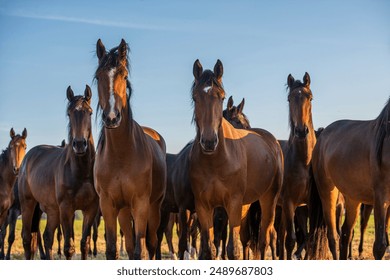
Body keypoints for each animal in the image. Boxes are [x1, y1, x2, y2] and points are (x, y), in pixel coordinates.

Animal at [18, 86, 99, 260]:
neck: (81, 171)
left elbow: (84, 244)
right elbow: (69, 247)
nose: (80, 144)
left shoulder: (90, 209)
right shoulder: (66, 208)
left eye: (89, 112)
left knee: (47, 237)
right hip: (28, 204)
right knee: (27, 238)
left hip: (52, 210)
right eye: (69, 113)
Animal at [95, 38, 168, 260]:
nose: (112, 118)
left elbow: (139, 251)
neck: (121, 154)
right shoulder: (108, 206)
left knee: (151, 244)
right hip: (124, 211)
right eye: (98, 76)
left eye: (124, 75)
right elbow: (113, 249)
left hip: (154, 207)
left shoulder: (141, 204)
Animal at [190, 59, 284, 260]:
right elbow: (209, 249)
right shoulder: (204, 207)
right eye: (195, 97)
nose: (209, 142)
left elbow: (233, 250)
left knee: (264, 240)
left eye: (222, 97)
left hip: (268, 200)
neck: (215, 162)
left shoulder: (232, 204)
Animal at [310, 97, 390, 260]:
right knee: (333, 236)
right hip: (328, 193)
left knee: (346, 233)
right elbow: (380, 246)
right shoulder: (381, 197)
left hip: (353, 198)